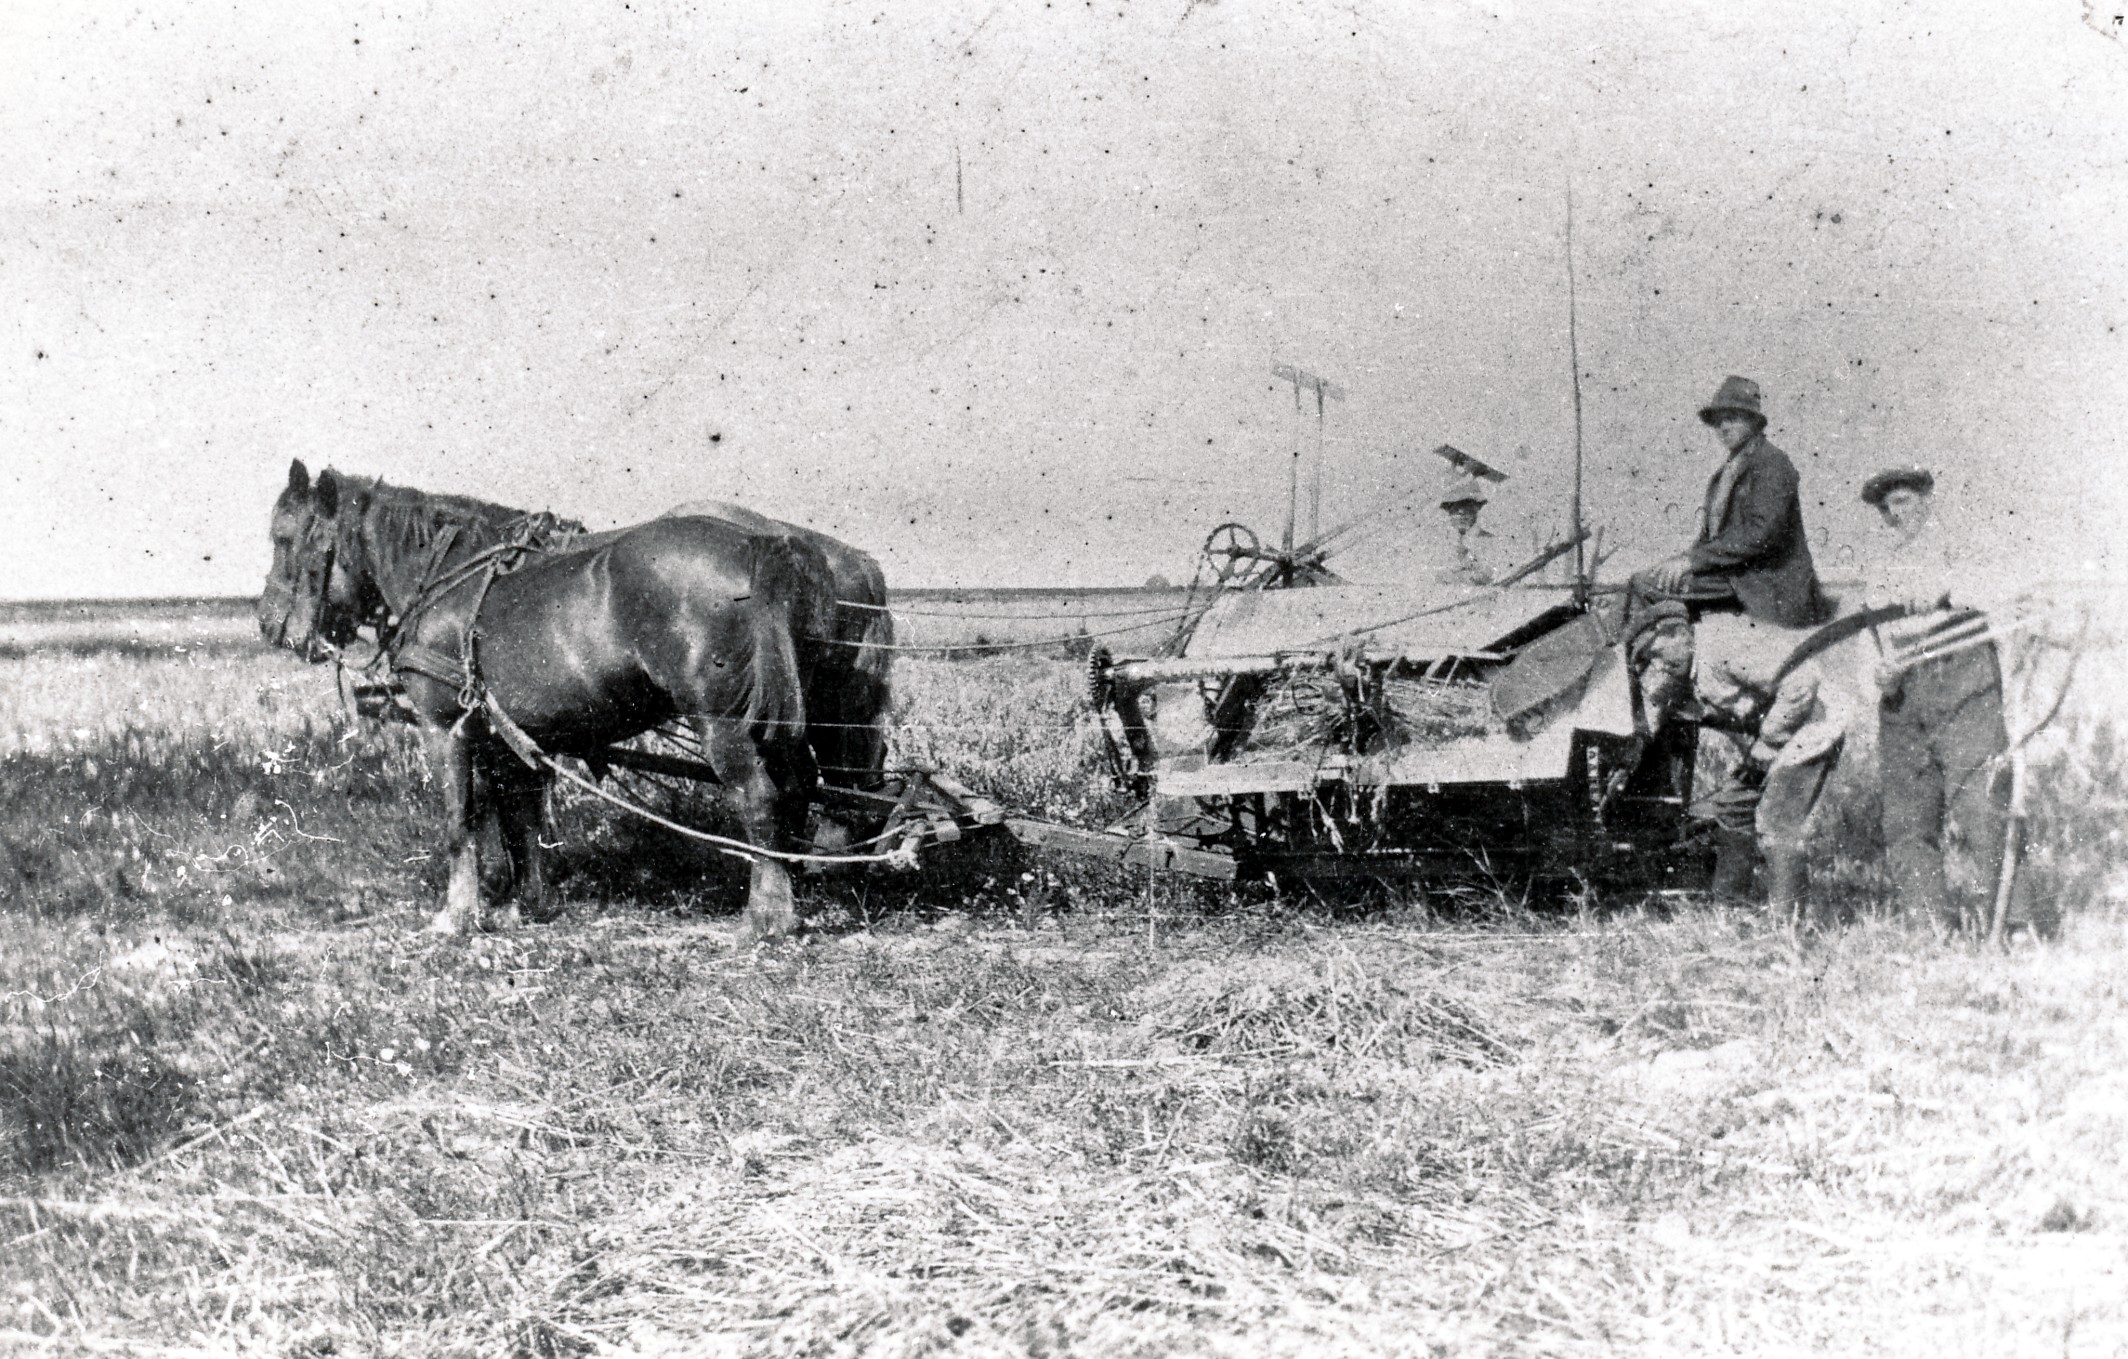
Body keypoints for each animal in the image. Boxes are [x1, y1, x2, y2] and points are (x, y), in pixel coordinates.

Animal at [260, 459, 840, 939]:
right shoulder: (504, 738)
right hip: (777, 722)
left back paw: (766, 917)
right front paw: (521, 902)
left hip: (722, 723)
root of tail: (755, 544)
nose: (269, 626)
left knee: (759, 799)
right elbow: (516, 821)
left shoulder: (445, 727)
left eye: (284, 538)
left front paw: (457, 914)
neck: (444, 581)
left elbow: (460, 821)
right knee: (795, 790)